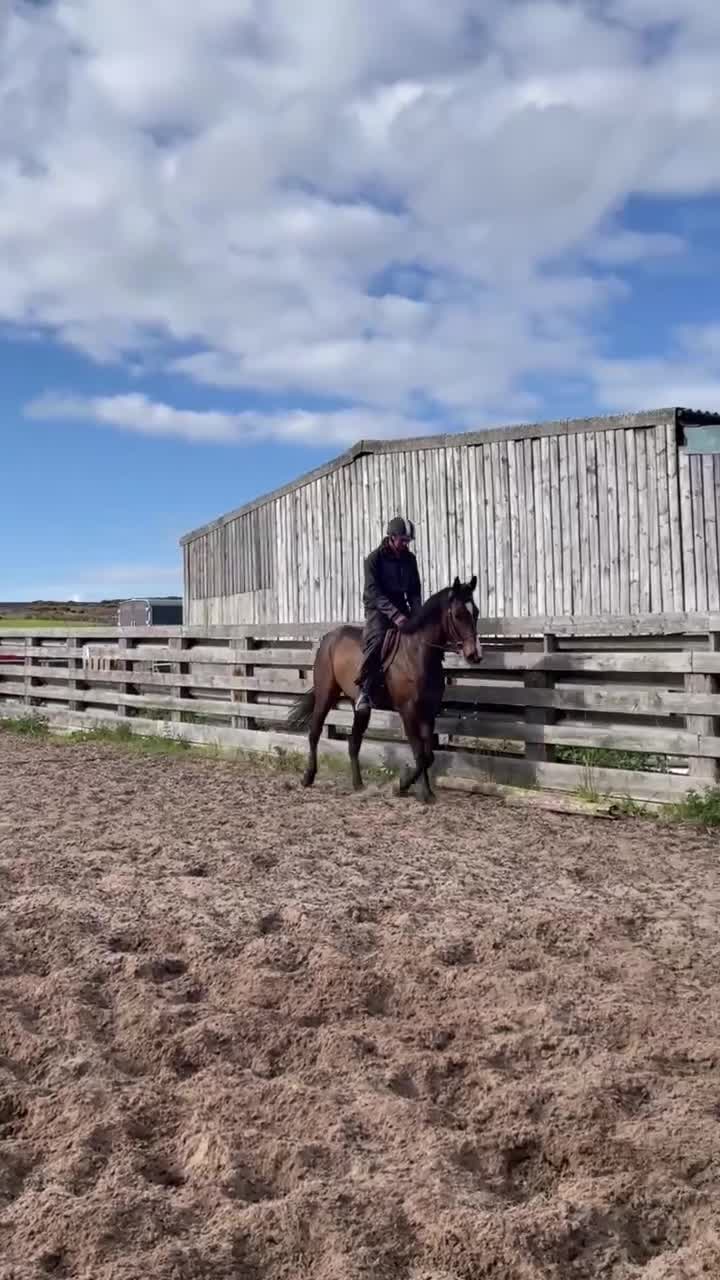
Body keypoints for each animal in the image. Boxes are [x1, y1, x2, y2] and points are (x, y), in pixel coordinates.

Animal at [286, 576, 481, 803]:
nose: (474, 655)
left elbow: (428, 755)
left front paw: (409, 788)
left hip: (359, 706)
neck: (417, 654)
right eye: (458, 614)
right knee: (315, 732)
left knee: (354, 742)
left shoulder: (428, 712)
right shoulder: (408, 711)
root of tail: (329, 637)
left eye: (476, 612)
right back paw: (308, 777)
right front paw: (414, 791)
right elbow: (419, 753)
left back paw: (358, 785)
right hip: (326, 694)